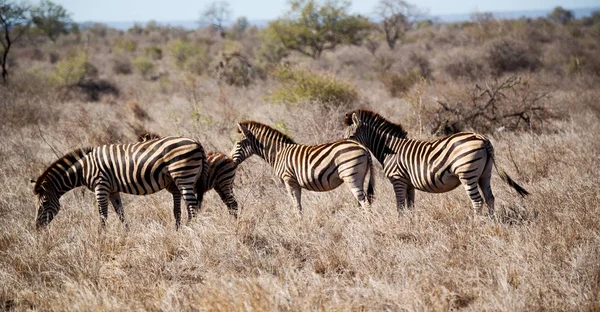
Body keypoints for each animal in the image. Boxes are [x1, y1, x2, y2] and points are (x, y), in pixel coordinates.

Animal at [32, 136, 209, 229]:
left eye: (44, 203)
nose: (37, 228)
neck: (84, 168)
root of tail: (197, 143)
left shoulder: (101, 186)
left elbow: (103, 214)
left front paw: (101, 237)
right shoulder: (112, 190)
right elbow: (120, 213)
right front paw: (127, 233)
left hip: (183, 176)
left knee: (192, 206)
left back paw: (190, 229)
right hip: (182, 178)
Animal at [231, 120, 376, 216]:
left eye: (238, 143)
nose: (230, 161)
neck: (278, 153)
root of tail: (363, 147)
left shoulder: (289, 180)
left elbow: (296, 205)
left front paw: (299, 227)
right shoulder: (296, 183)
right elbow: (299, 205)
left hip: (351, 176)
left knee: (365, 203)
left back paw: (367, 224)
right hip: (360, 177)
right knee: (363, 202)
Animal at [342, 110, 528, 219]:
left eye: (350, 137)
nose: (343, 146)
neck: (390, 150)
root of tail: (482, 138)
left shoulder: (398, 180)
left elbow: (400, 206)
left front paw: (400, 223)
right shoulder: (409, 183)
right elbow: (410, 206)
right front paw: (411, 224)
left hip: (467, 173)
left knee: (477, 200)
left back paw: (476, 224)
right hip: (485, 173)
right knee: (490, 197)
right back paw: (490, 222)